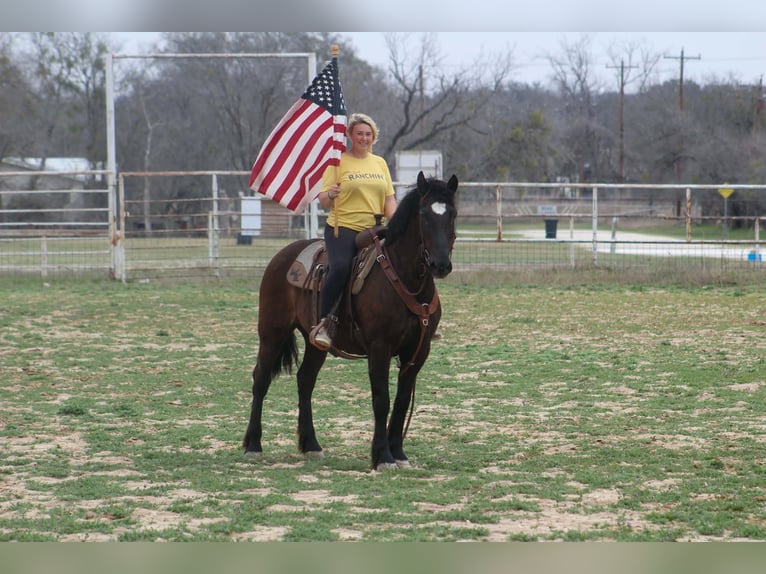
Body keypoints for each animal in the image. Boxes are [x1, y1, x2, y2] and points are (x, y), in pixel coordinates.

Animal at [242, 171, 459, 470]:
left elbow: (402, 401)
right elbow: (382, 399)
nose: (440, 265)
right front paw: (383, 456)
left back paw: (311, 445)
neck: (403, 279)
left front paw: (398, 453)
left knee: (305, 380)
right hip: (272, 332)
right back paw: (253, 445)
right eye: (424, 214)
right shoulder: (379, 348)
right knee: (261, 379)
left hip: (315, 342)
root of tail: (283, 256)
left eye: (452, 214)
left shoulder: (418, 351)